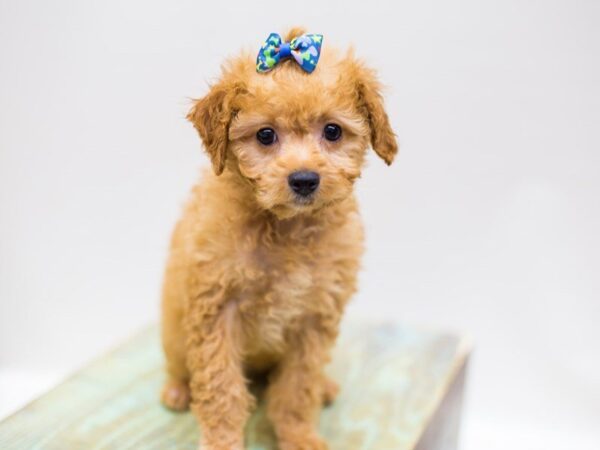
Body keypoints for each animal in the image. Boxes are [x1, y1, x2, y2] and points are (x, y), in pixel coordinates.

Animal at [159, 27, 398, 450]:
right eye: (265, 135)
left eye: (333, 131)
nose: (304, 179)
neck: (287, 228)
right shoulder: (216, 309)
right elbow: (221, 389)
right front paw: (222, 442)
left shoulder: (314, 317)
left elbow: (298, 387)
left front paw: (299, 435)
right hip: (173, 331)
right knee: (179, 365)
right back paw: (177, 390)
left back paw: (326, 386)